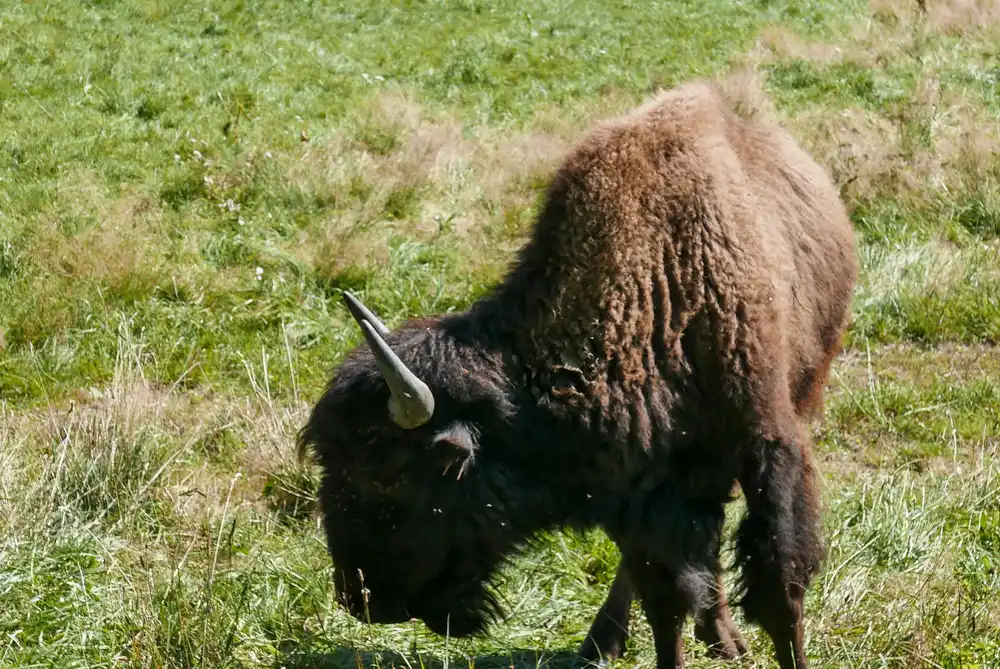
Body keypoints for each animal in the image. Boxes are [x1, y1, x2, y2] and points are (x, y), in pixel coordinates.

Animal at [296, 79, 860, 668]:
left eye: (390, 473)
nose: (358, 596)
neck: (654, 286)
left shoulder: (767, 445)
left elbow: (779, 587)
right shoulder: (641, 490)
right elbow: (665, 600)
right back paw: (628, 639)